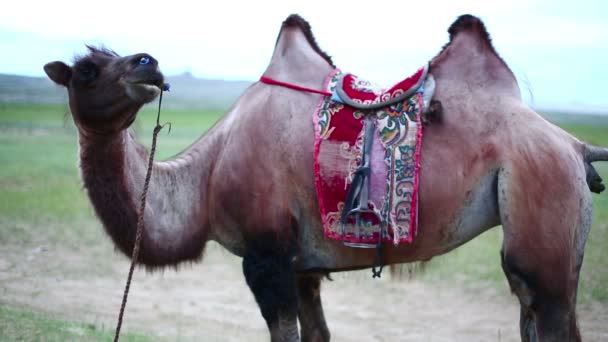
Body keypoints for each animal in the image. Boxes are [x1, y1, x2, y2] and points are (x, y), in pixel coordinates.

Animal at [44, 14, 608, 342]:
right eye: (87, 70)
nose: (148, 63)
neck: (204, 181)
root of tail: (574, 145)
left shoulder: (265, 256)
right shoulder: (302, 267)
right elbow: (317, 334)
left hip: (541, 199)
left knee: (546, 305)